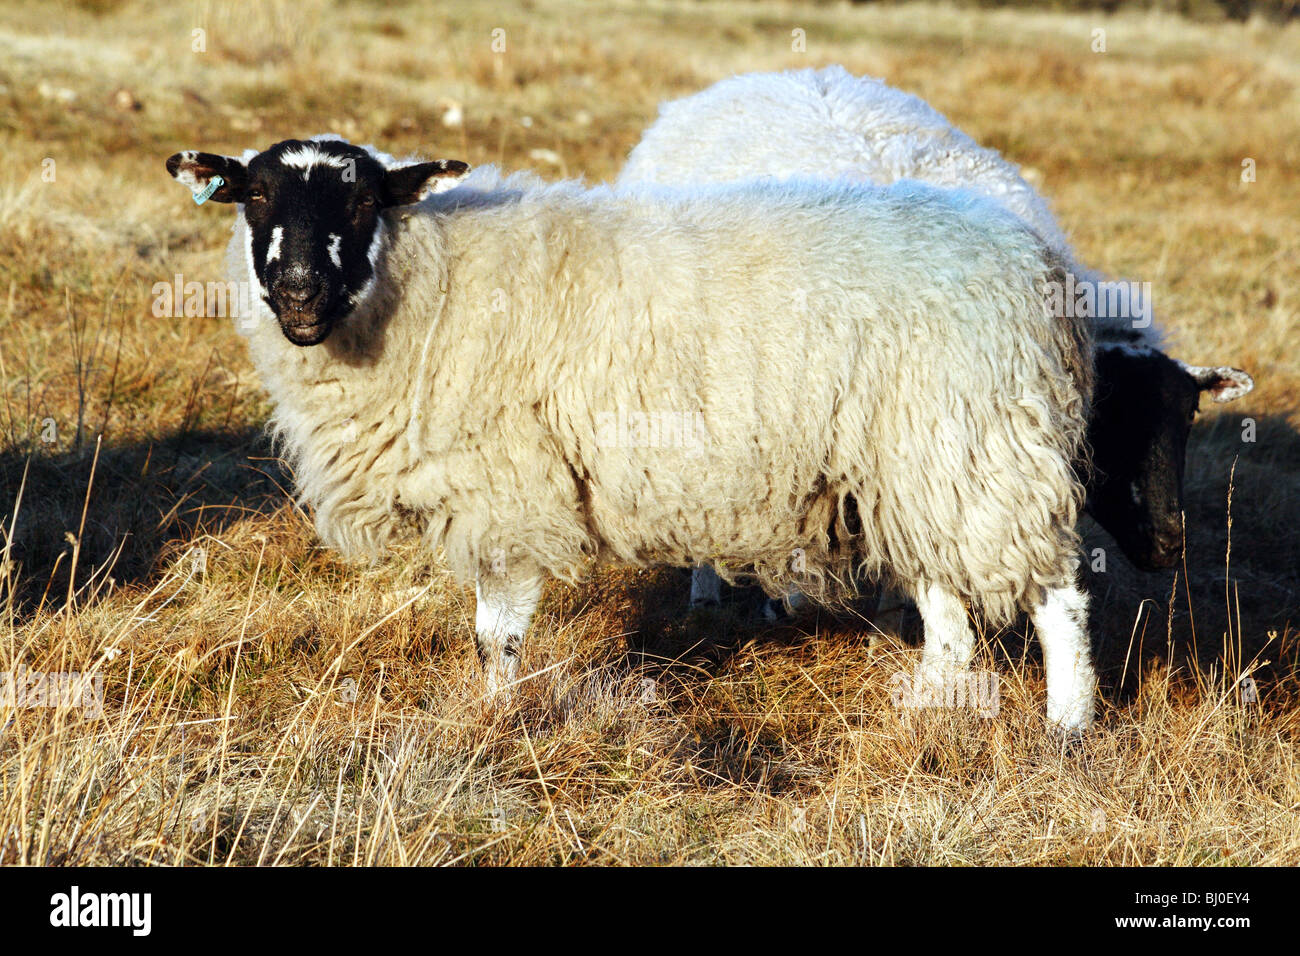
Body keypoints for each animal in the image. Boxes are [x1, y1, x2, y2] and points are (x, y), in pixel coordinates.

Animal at [162, 134, 1097, 728]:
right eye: (254, 196)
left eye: (361, 200)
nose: (298, 291)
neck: (427, 283)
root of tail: (1031, 257)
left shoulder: (508, 490)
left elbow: (494, 636)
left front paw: (496, 721)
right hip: (920, 460)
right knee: (948, 602)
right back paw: (933, 708)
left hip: (980, 439)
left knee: (1058, 596)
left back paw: (1068, 727)